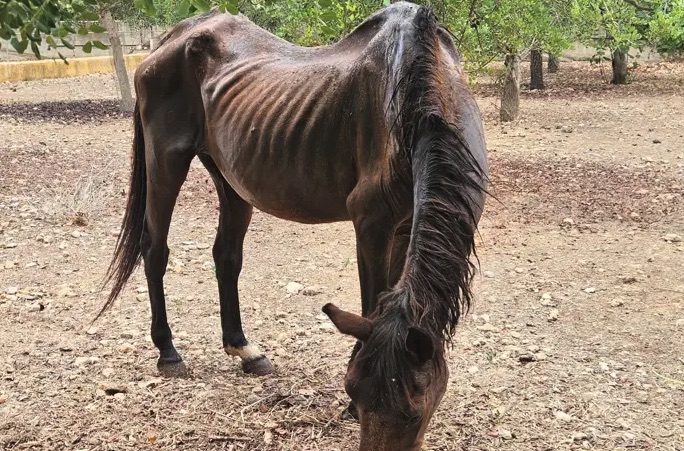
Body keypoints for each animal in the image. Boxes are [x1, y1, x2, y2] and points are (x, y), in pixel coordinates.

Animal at [100, 2, 488, 449]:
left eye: (413, 413)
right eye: (356, 392)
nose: (354, 406)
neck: (416, 98)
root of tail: (176, 36)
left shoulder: (405, 226)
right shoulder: (372, 225)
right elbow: (370, 303)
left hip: (231, 179)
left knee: (226, 256)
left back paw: (245, 350)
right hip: (166, 162)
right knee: (155, 250)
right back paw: (168, 353)